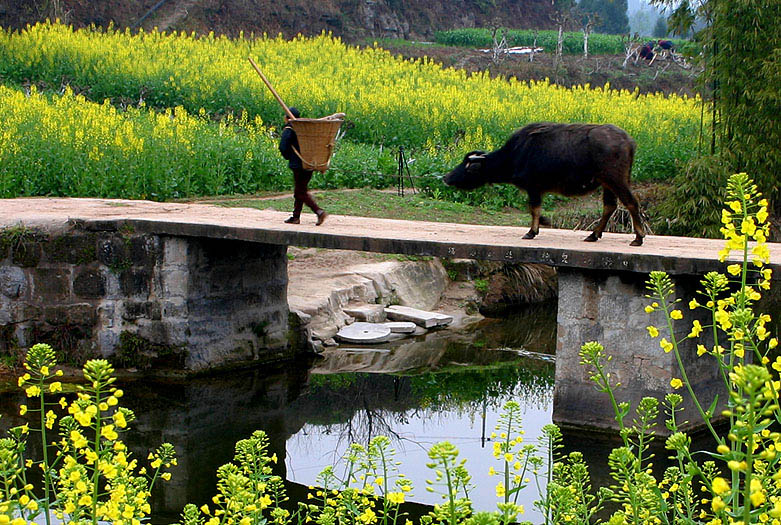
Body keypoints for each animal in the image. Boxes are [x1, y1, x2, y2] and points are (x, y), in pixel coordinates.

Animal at [444, 122, 644, 246]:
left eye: (468, 167)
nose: (446, 177)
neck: (516, 153)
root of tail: (629, 141)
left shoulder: (533, 188)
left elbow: (534, 209)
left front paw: (531, 231)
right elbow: (536, 211)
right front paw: (544, 222)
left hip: (615, 180)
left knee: (631, 202)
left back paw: (638, 238)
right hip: (607, 184)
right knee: (609, 206)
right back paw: (593, 235)